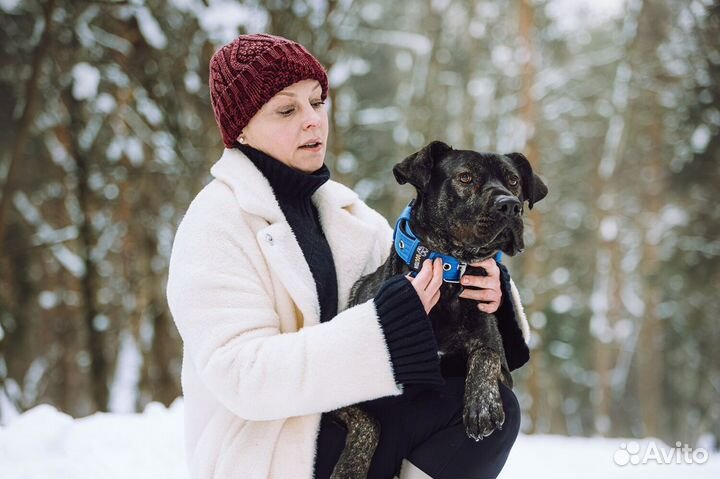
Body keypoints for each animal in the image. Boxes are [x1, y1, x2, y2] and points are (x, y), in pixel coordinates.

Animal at [330, 141, 548, 478]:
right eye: (466, 177)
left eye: (513, 181)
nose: (511, 205)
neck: (449, 270)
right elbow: (369, 422)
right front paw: (350, 468)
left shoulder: (502, 371)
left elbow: (486, 354)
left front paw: (482, 404)